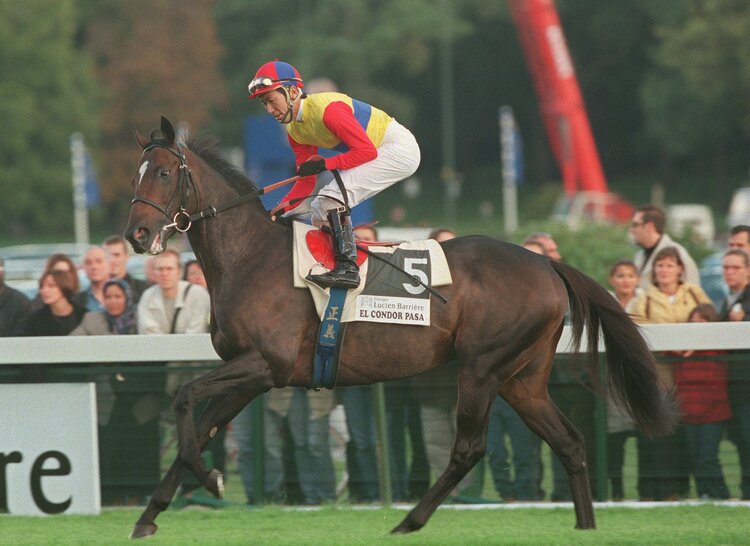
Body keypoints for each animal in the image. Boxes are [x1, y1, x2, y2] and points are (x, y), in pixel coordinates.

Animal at [124, 116, 676, 539]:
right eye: (137, 174)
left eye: (166, 172)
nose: (137, 235)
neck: (249, 258)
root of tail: (545, 262)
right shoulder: (249, 374)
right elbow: (199, 426)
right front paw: (151, 515)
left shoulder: (265, 365)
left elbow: (185, 399)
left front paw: (211, 480)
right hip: (523, 378)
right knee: (570, 442)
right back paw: (585, 527)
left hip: (482, 367)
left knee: (469, 448)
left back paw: (410, 521)